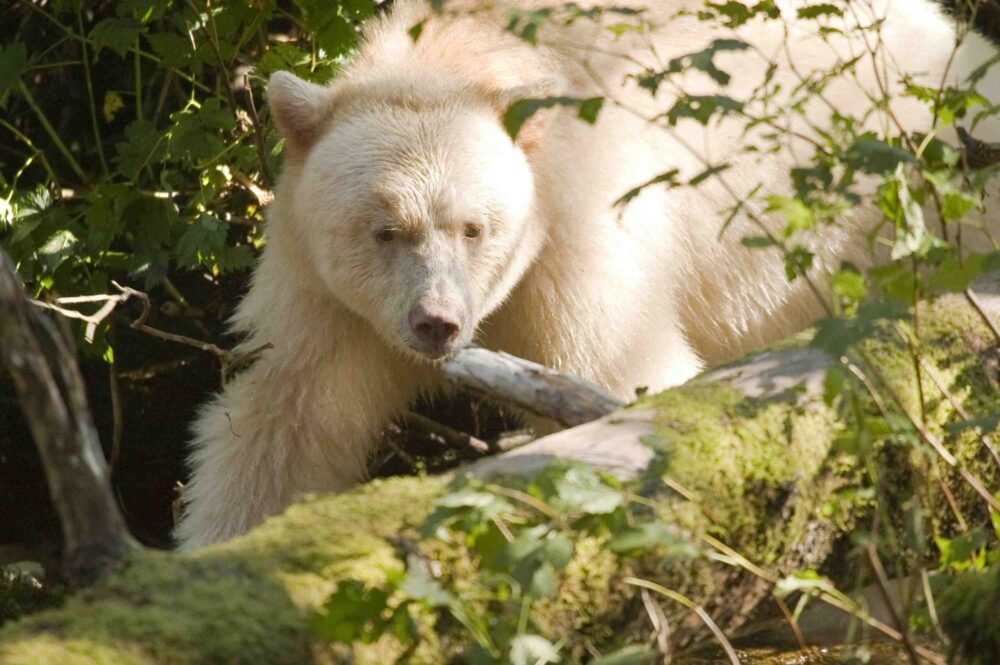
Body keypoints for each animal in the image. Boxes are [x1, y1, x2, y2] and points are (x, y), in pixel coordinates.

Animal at [174, 0, 1000, 550]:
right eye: (385, 229)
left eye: (475, 226)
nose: (435, 322)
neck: (471, 50)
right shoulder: (327, 294)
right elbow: (290, 416)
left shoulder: (580, 235)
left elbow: (626, 371)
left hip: (922, 194)